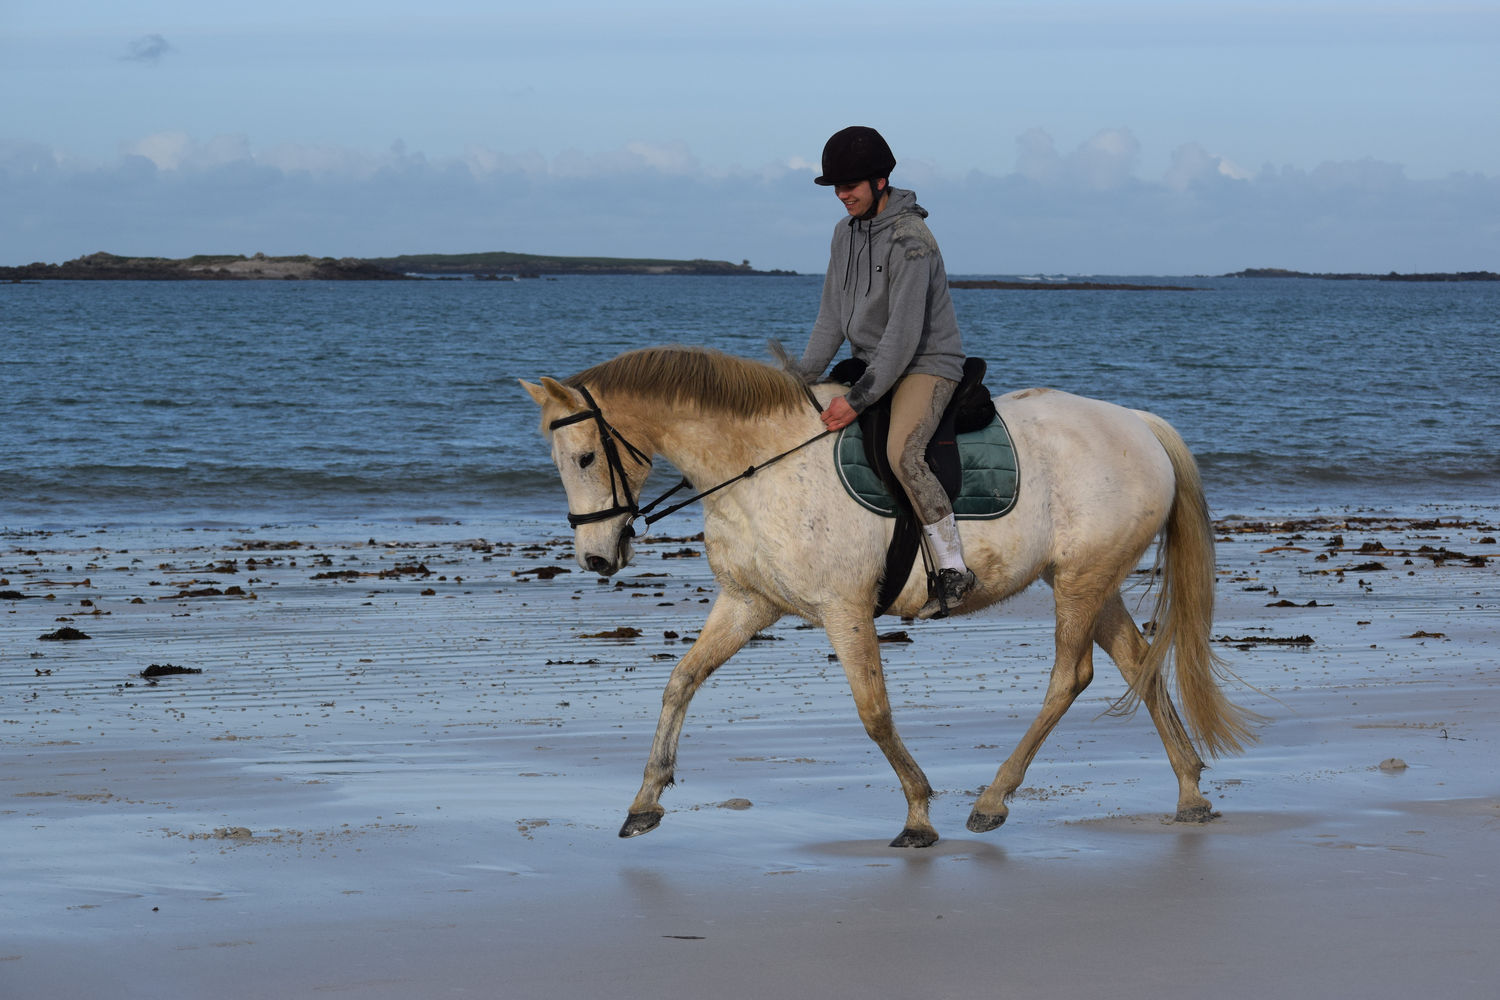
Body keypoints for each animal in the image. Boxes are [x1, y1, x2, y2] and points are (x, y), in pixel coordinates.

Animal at [525, 347, 1254, 851]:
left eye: (584, 458)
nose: (596, 558)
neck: (761, 465)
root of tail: (1137, 424)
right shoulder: (748, 603)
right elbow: (681, 681)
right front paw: (644, 802)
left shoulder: (844, 611)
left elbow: (874, 713)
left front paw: (919, 815)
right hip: (1089, 581)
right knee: (1138, 661)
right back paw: (1190, 791)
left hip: (1080, 581)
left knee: (1070, 676)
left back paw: (992, 800)